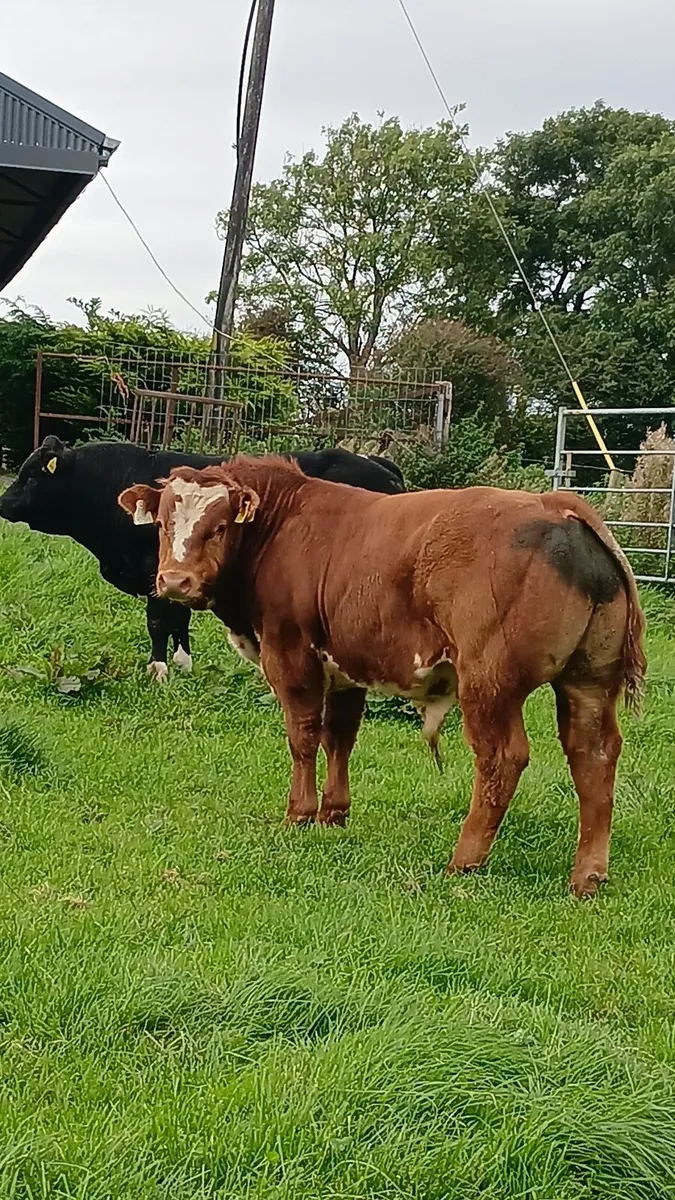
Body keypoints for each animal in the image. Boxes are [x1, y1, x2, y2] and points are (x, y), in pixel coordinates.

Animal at [0, 436, 404, 681]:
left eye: (33, 474)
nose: (3, 502)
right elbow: (179, 620)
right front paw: (183, 664)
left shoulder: (155, 573)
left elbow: (159, 621)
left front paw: (158, 670)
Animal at [119, 455, 646, 898]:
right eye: (162, 523)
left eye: (220, 526)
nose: (174, 581)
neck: (282, 527)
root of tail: (557, 506)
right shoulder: (346, 665)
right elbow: (340, 737)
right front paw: (333, 814)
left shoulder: (290, 655)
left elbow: (303, 736)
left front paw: (299, 814)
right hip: (588, 681)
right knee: (593, 756)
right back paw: (587, 876)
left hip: (488, 682)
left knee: (502, 759)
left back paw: (464, 860)